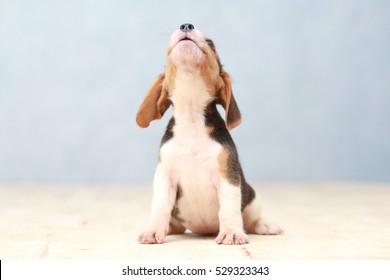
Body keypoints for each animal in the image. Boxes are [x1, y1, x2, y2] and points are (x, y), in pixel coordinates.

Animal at [136, 23, 282, 244]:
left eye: (211, 43)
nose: (186, 25)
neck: (191, 117)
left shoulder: (228, 177)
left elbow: (228, 210)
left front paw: (231, 232)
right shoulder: (165, 178)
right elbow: (160, 207)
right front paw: (153, 230)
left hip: (252, 197)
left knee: (250, 221)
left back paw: (265, 225)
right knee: (175, 224)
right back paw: (168, 228)